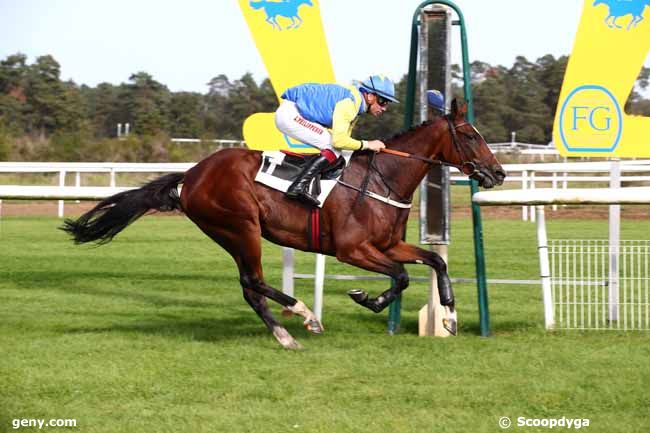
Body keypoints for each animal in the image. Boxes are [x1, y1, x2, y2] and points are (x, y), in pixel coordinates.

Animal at [62, 98, 506, 348]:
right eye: (470, 135)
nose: (498, 173)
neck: (384, 177)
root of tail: (192, 174)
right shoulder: (352, 249)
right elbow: (400, 276)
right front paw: (368, 298)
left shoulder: (387, 244)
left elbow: (435, 262)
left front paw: (448, 317)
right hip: (241, 228)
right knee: (254, 282)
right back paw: (303, 316)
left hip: (234, 234)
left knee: (250, 288)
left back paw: (287, 332)